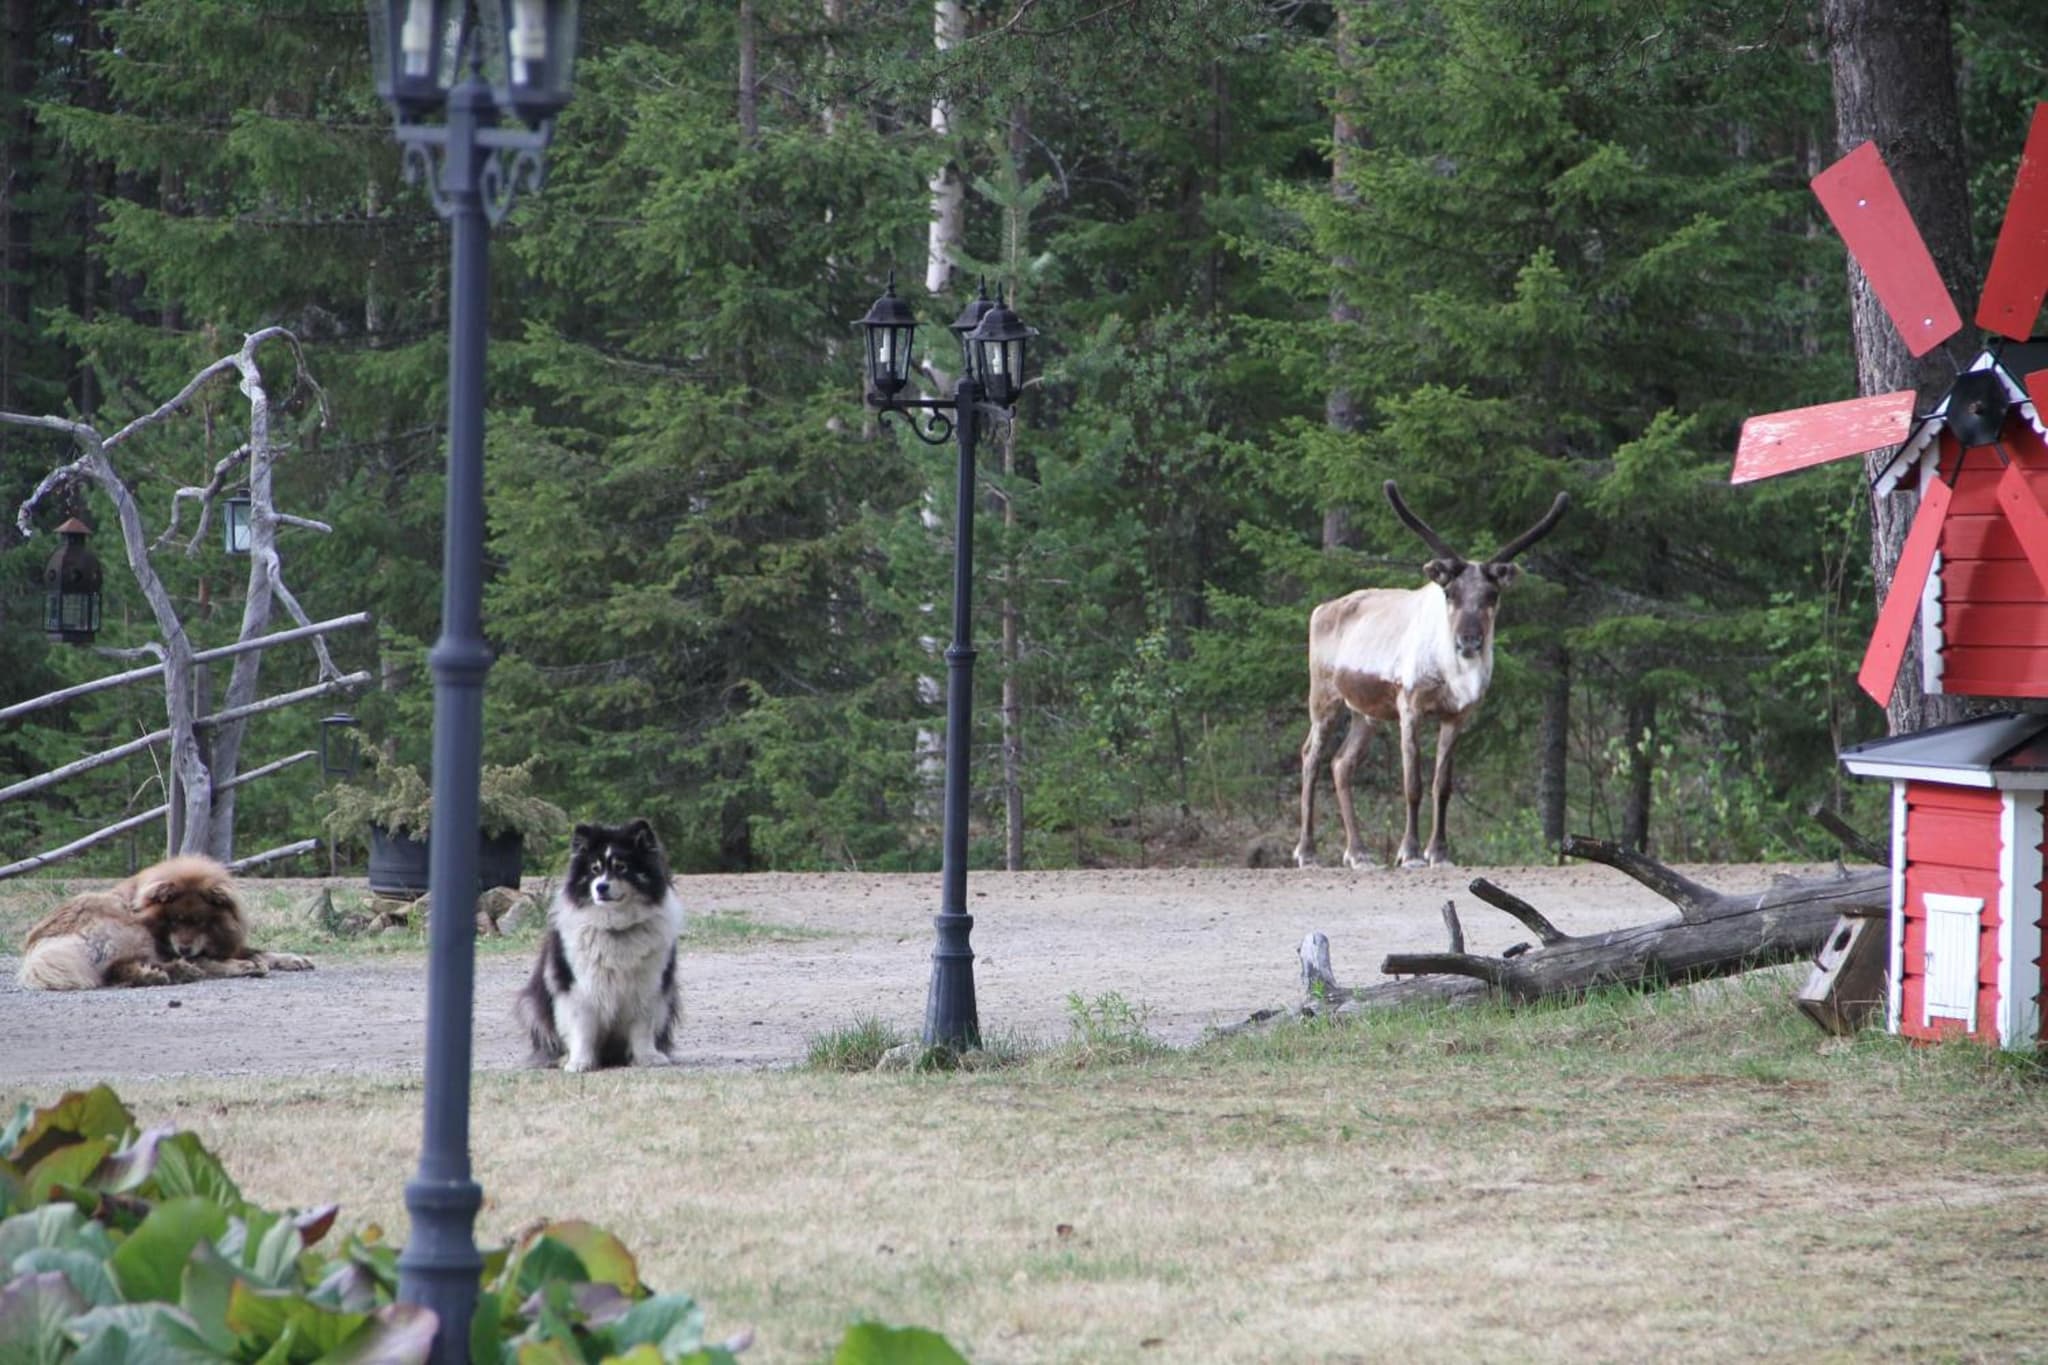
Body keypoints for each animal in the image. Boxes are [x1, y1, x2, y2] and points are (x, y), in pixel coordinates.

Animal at [1293, 481, 1569, 870]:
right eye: (1449, 592)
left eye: (1492, 594)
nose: (1469, 640)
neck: (1453, 676)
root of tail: (1320, 609)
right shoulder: (1411, 707)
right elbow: (1414, 784)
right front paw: (1409, 853)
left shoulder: (1458, 715)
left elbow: (1443, 785)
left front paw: (1439, 851)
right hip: (1324, 697)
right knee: (1310, 757)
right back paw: (1308, 852)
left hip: (1366, 712)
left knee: (1341, 763)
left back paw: (1358, 853)